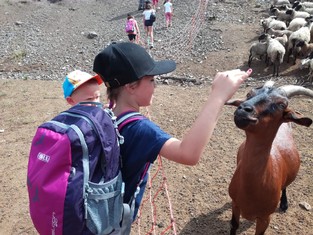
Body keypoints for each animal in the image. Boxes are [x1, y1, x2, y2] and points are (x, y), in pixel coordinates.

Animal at [224, 81, 312, 235]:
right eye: (249, 94)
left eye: (281, 104)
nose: (243, 109)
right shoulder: (236, 205)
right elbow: (234, 225)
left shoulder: (265, 218)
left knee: (285, 186)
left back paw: (284, 204)